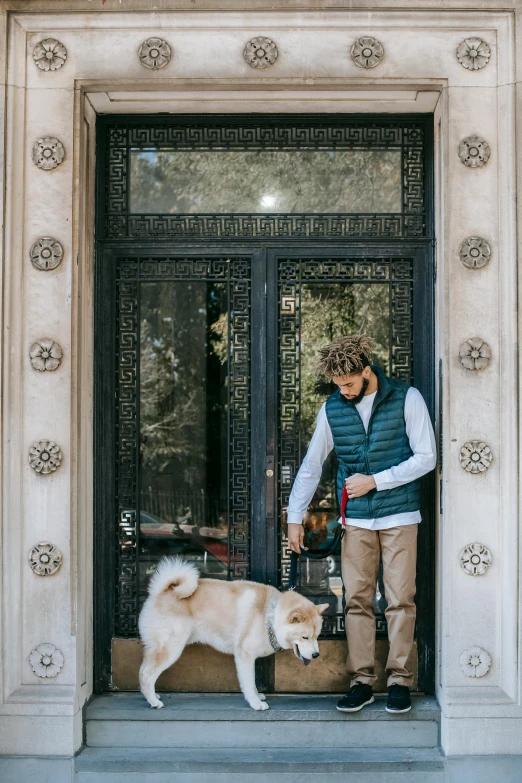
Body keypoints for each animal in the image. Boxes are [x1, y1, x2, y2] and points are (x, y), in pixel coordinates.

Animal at [138, 556, 324, 712]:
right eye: (305, 637)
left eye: (317, 636)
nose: (316, 655)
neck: (270, 615)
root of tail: (160, 592)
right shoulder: (244, 655)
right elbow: (249, 683)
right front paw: (255, 703)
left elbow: (253, 684)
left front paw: (257, 696)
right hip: (171, 648)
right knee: (147, 675)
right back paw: (154, 702)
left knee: (142, 671)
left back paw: (151, 696)